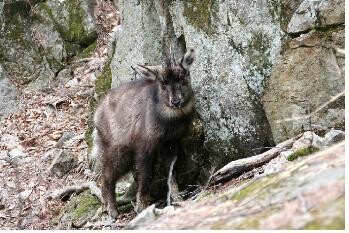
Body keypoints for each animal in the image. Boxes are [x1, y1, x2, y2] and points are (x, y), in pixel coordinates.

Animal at [92, 49, 194, 218]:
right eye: (163, 83)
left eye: (181, 77)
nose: (176, 102)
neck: (169, 120)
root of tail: (96, 114)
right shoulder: (145, 146)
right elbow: (146, 176)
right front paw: (141, 207)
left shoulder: (172, 144)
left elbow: (172, 172)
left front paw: (177, 198)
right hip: (117, 150)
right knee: (106, 176)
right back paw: (112, 210)